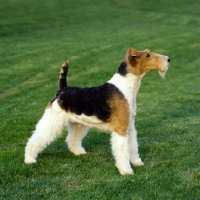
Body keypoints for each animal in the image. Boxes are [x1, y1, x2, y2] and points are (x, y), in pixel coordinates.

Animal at [24, 48, 170, 175]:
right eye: (147, 55)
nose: (168, 59)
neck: (126, 87)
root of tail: (62, 89)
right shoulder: (120, 129)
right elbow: (123, 150)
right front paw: (126, 171)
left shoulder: (129, 126)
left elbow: (133, 146)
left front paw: (137, 162)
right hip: (52, 121)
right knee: (34, 140)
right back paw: (29, 159)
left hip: (78, 123)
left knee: (72, 140)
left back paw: (79, 152)